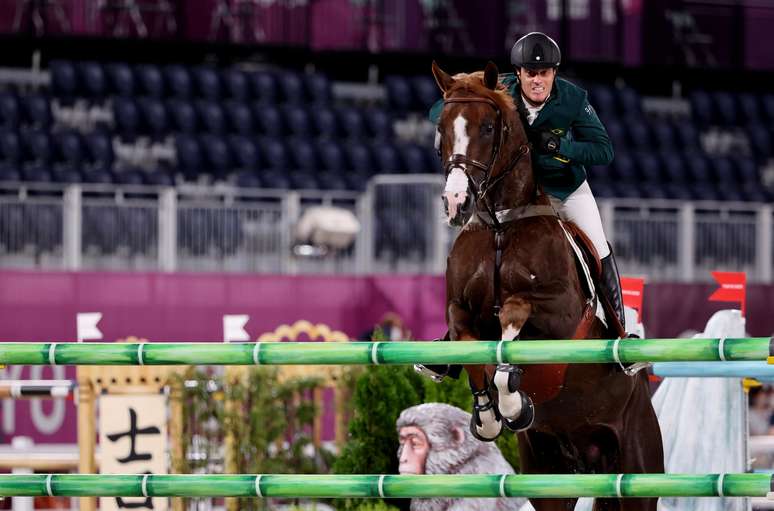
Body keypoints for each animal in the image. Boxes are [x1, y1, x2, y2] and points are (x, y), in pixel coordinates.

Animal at [434, 61, 664, 511]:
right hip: (549, 474)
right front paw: (489, 415)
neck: (501, 225)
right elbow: (468, 343)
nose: (456, 203)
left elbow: (514, 313)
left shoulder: (562, 315)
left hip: (638, 471)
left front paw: (511, 400)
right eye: (442, 127)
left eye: (488, 127)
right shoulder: (460, 309)